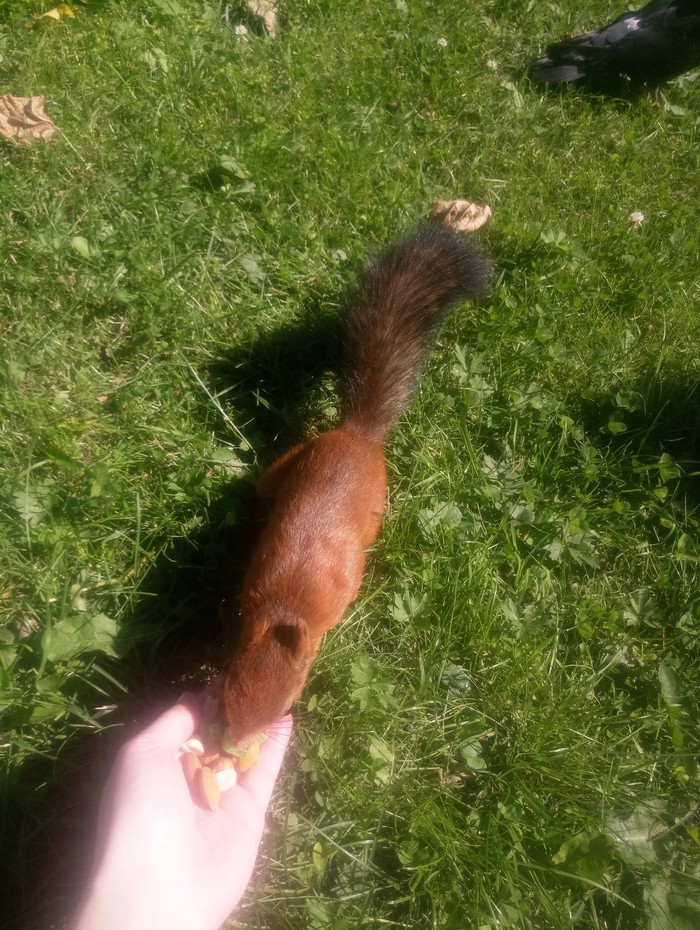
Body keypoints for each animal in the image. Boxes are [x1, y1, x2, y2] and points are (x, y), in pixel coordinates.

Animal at [223, 221, 492, 744]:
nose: (233, 744)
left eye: (288, 699)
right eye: (229, 688)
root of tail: (357, 436)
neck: (288, 603)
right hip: (292, 464)